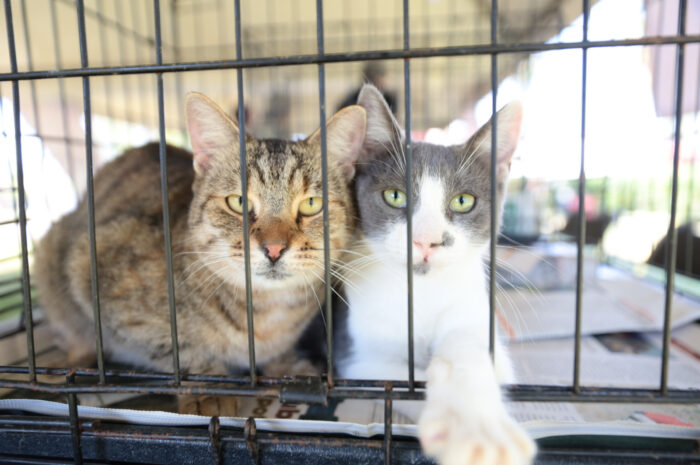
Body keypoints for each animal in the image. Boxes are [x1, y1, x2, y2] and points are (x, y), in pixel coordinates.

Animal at [340, 85, 536, 464]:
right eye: (395, 196)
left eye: (463, 201)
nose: (426, 241)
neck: (422, 292)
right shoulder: (356, 361)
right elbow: (393, 382)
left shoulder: (472, 313)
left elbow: (475, 355)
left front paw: (478, 425)